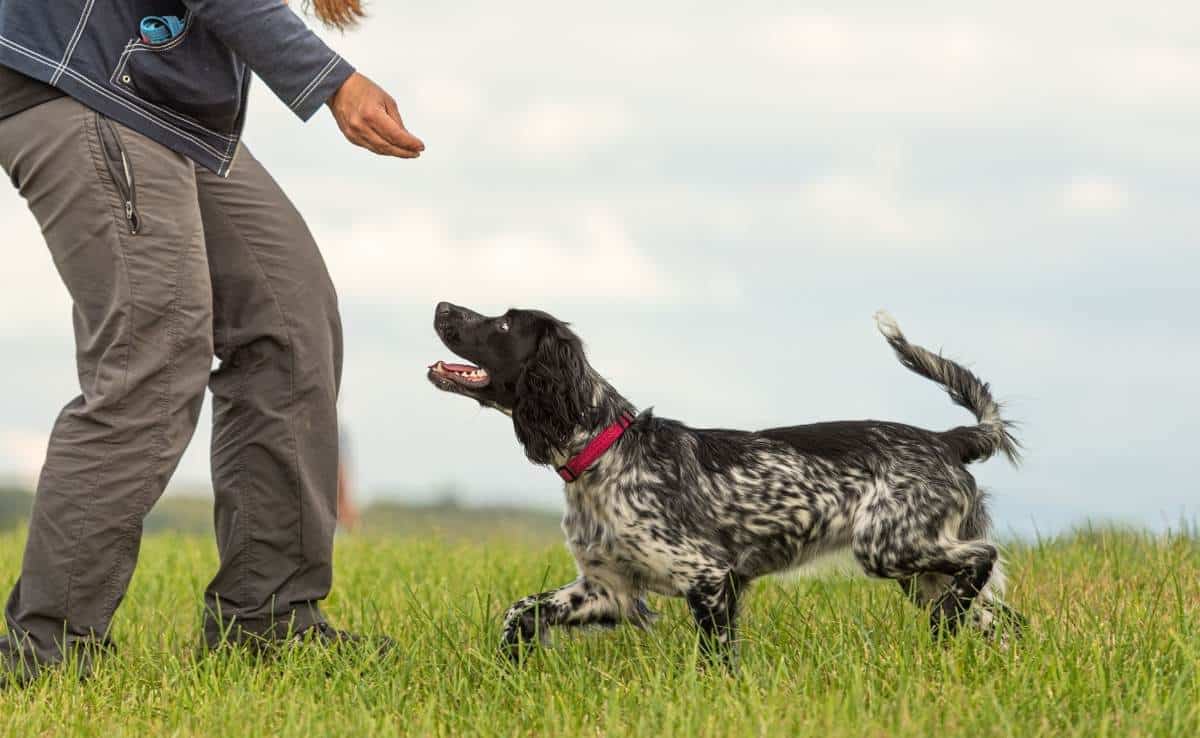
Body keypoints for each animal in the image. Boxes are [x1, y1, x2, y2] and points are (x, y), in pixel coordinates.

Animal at [427, 301, 1027, 662]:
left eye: (504, 325)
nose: (441, 307)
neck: (605, 449)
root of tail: (948, 439)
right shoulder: (608, 588)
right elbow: (521, 611)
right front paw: (509, 662)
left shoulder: (711, 578)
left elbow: (716, 660)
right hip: (918, 571)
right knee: (1002, 617)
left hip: (890, 549)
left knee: (983, 558)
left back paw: (950, 624)